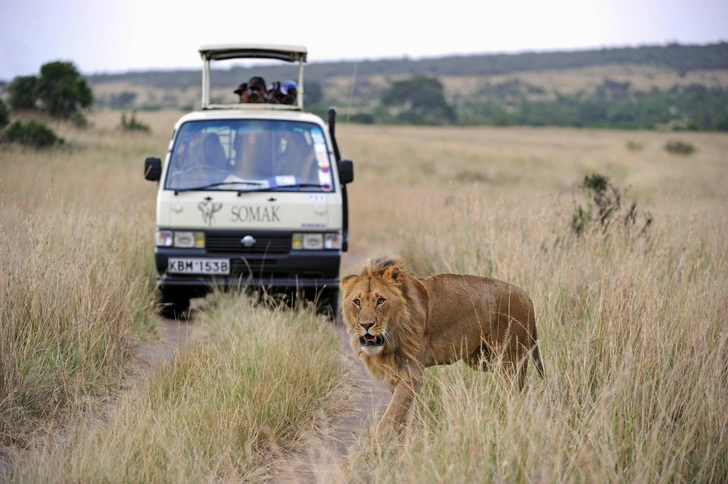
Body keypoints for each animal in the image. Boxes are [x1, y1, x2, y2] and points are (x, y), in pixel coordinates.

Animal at [340, 255, 540, 436]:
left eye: (380, 300)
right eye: (357, 302)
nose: (366, 325)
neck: (392, 336)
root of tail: (526, 296)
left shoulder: (412, 374)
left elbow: (389, 418)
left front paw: (376, 448)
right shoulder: (396, 375)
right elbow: (403, 418)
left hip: (509, 361)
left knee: (518, 393)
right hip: (484, 360)